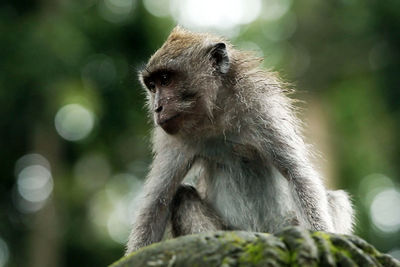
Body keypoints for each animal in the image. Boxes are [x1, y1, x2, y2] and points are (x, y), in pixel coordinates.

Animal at [125, 26, 354, 255]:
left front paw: (321, 239)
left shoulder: (262, 106)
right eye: (152, 86)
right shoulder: (172, 137)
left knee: (335, 199)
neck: (217, 115)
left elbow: (297, 174)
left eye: (165, 79)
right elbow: (157, 203)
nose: (157, 108)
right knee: (183, 197)